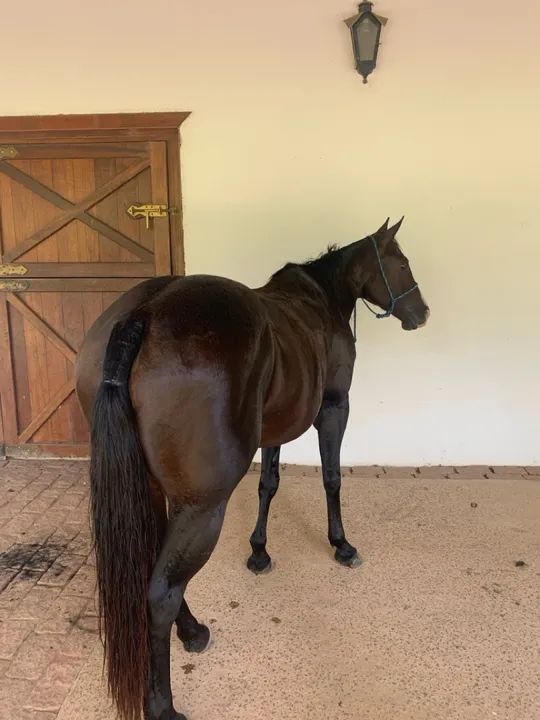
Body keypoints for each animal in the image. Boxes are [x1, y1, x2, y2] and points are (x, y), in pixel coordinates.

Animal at [75, 217, 429, 720]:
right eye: (400, 263)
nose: (422, 312)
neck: (320, 299)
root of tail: (142, 315)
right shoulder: (334, 408)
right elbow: (331, 479)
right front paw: (341, 544)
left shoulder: (275, 428)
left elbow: (269, 484)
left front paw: (259, 551)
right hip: (202, 507)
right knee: (162, 591)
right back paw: (163, 703)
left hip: (157, 494)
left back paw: (192, 631)